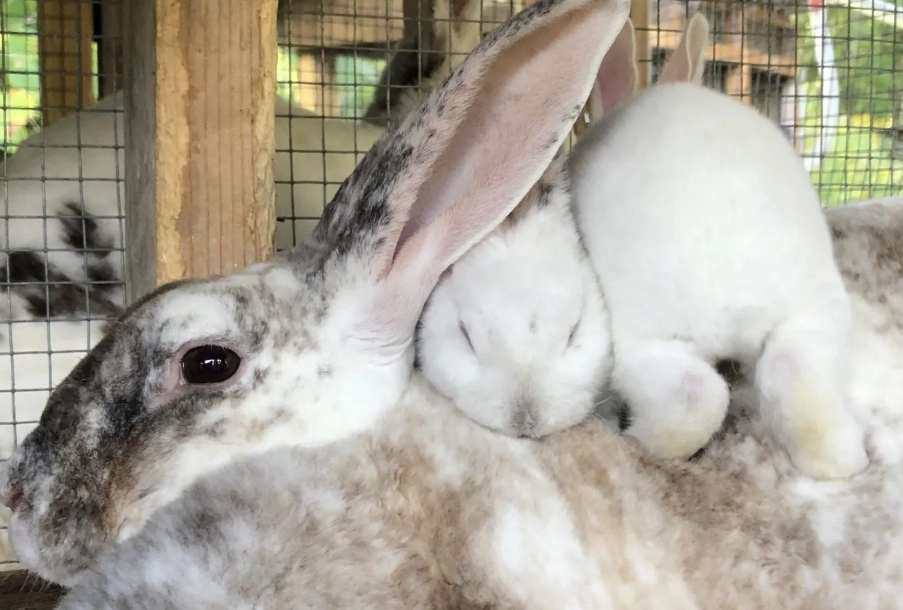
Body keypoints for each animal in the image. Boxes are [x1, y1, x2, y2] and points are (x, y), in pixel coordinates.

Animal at [568, 58, 869, 480]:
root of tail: (737, 298)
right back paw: (845, 461)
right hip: (812, 318)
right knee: (794, 377)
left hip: (640, 347)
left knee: (695, 400)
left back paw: (635, 438)